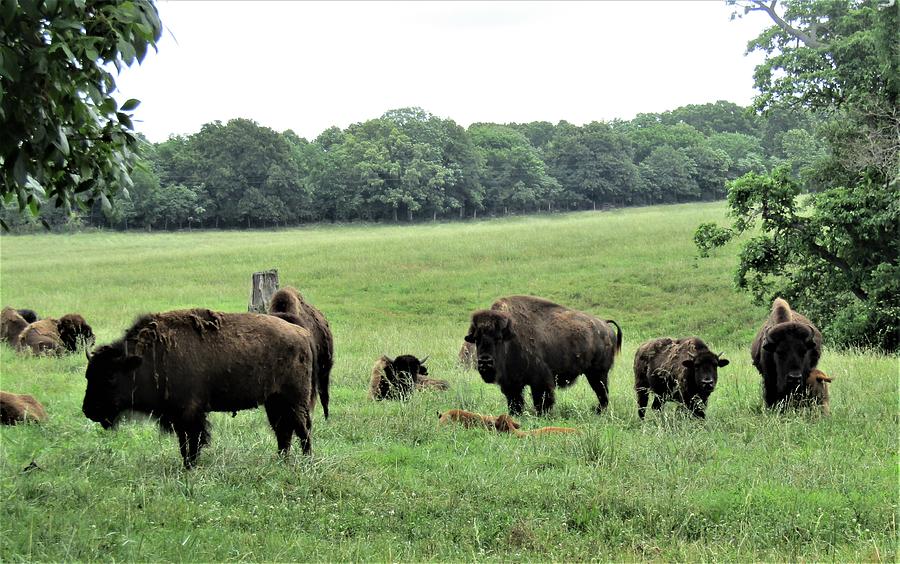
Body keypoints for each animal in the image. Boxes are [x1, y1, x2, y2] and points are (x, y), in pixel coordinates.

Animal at [81, 308, 320, 468]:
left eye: (110, 376)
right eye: (88, 375)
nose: (88, 410)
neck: (144, 359)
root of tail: (301, 332)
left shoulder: (189, 413)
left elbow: (193, 441)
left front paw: (190, 466)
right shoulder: (178, 417)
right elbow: (184, 443)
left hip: (295, 400)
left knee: (302, 428)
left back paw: (307, 460)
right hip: (274, 401)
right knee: (283, 430)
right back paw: (282, 460)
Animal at [464, 296, 620, 414]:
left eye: (498, 338)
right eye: (477, 339)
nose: (485, 362)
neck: (510, 336)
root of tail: (605, 325)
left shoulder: (540, 380)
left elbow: (542, 400)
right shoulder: (511, 384)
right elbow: (515, 401)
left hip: (598, 373)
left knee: (602, 392)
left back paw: (598, 411)